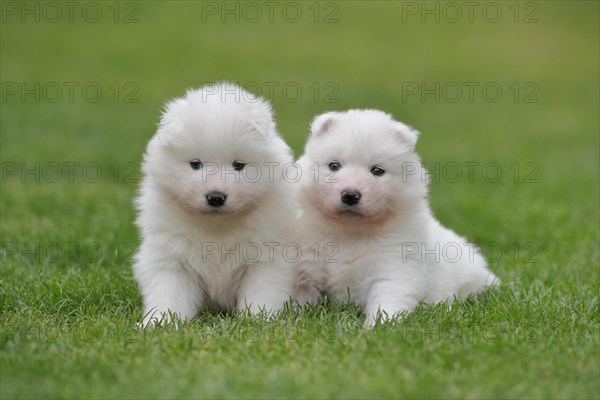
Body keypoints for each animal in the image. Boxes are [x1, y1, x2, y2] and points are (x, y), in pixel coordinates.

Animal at [135, 83, 296, 326]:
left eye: (238, 165)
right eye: (195, 164)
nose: (216, 197)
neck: (217, 226)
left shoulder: (266, 258)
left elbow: (262, 293)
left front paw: (257, 320)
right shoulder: (170, 257)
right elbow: (169, 294)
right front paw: (160, 322)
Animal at [294, 109, 496, 328]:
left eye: (377, 170)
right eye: (334, 165)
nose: (350, 195)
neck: (351, 231)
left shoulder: (395, 269)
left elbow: (387, 302)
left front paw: (376, 327)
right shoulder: (307, 266)